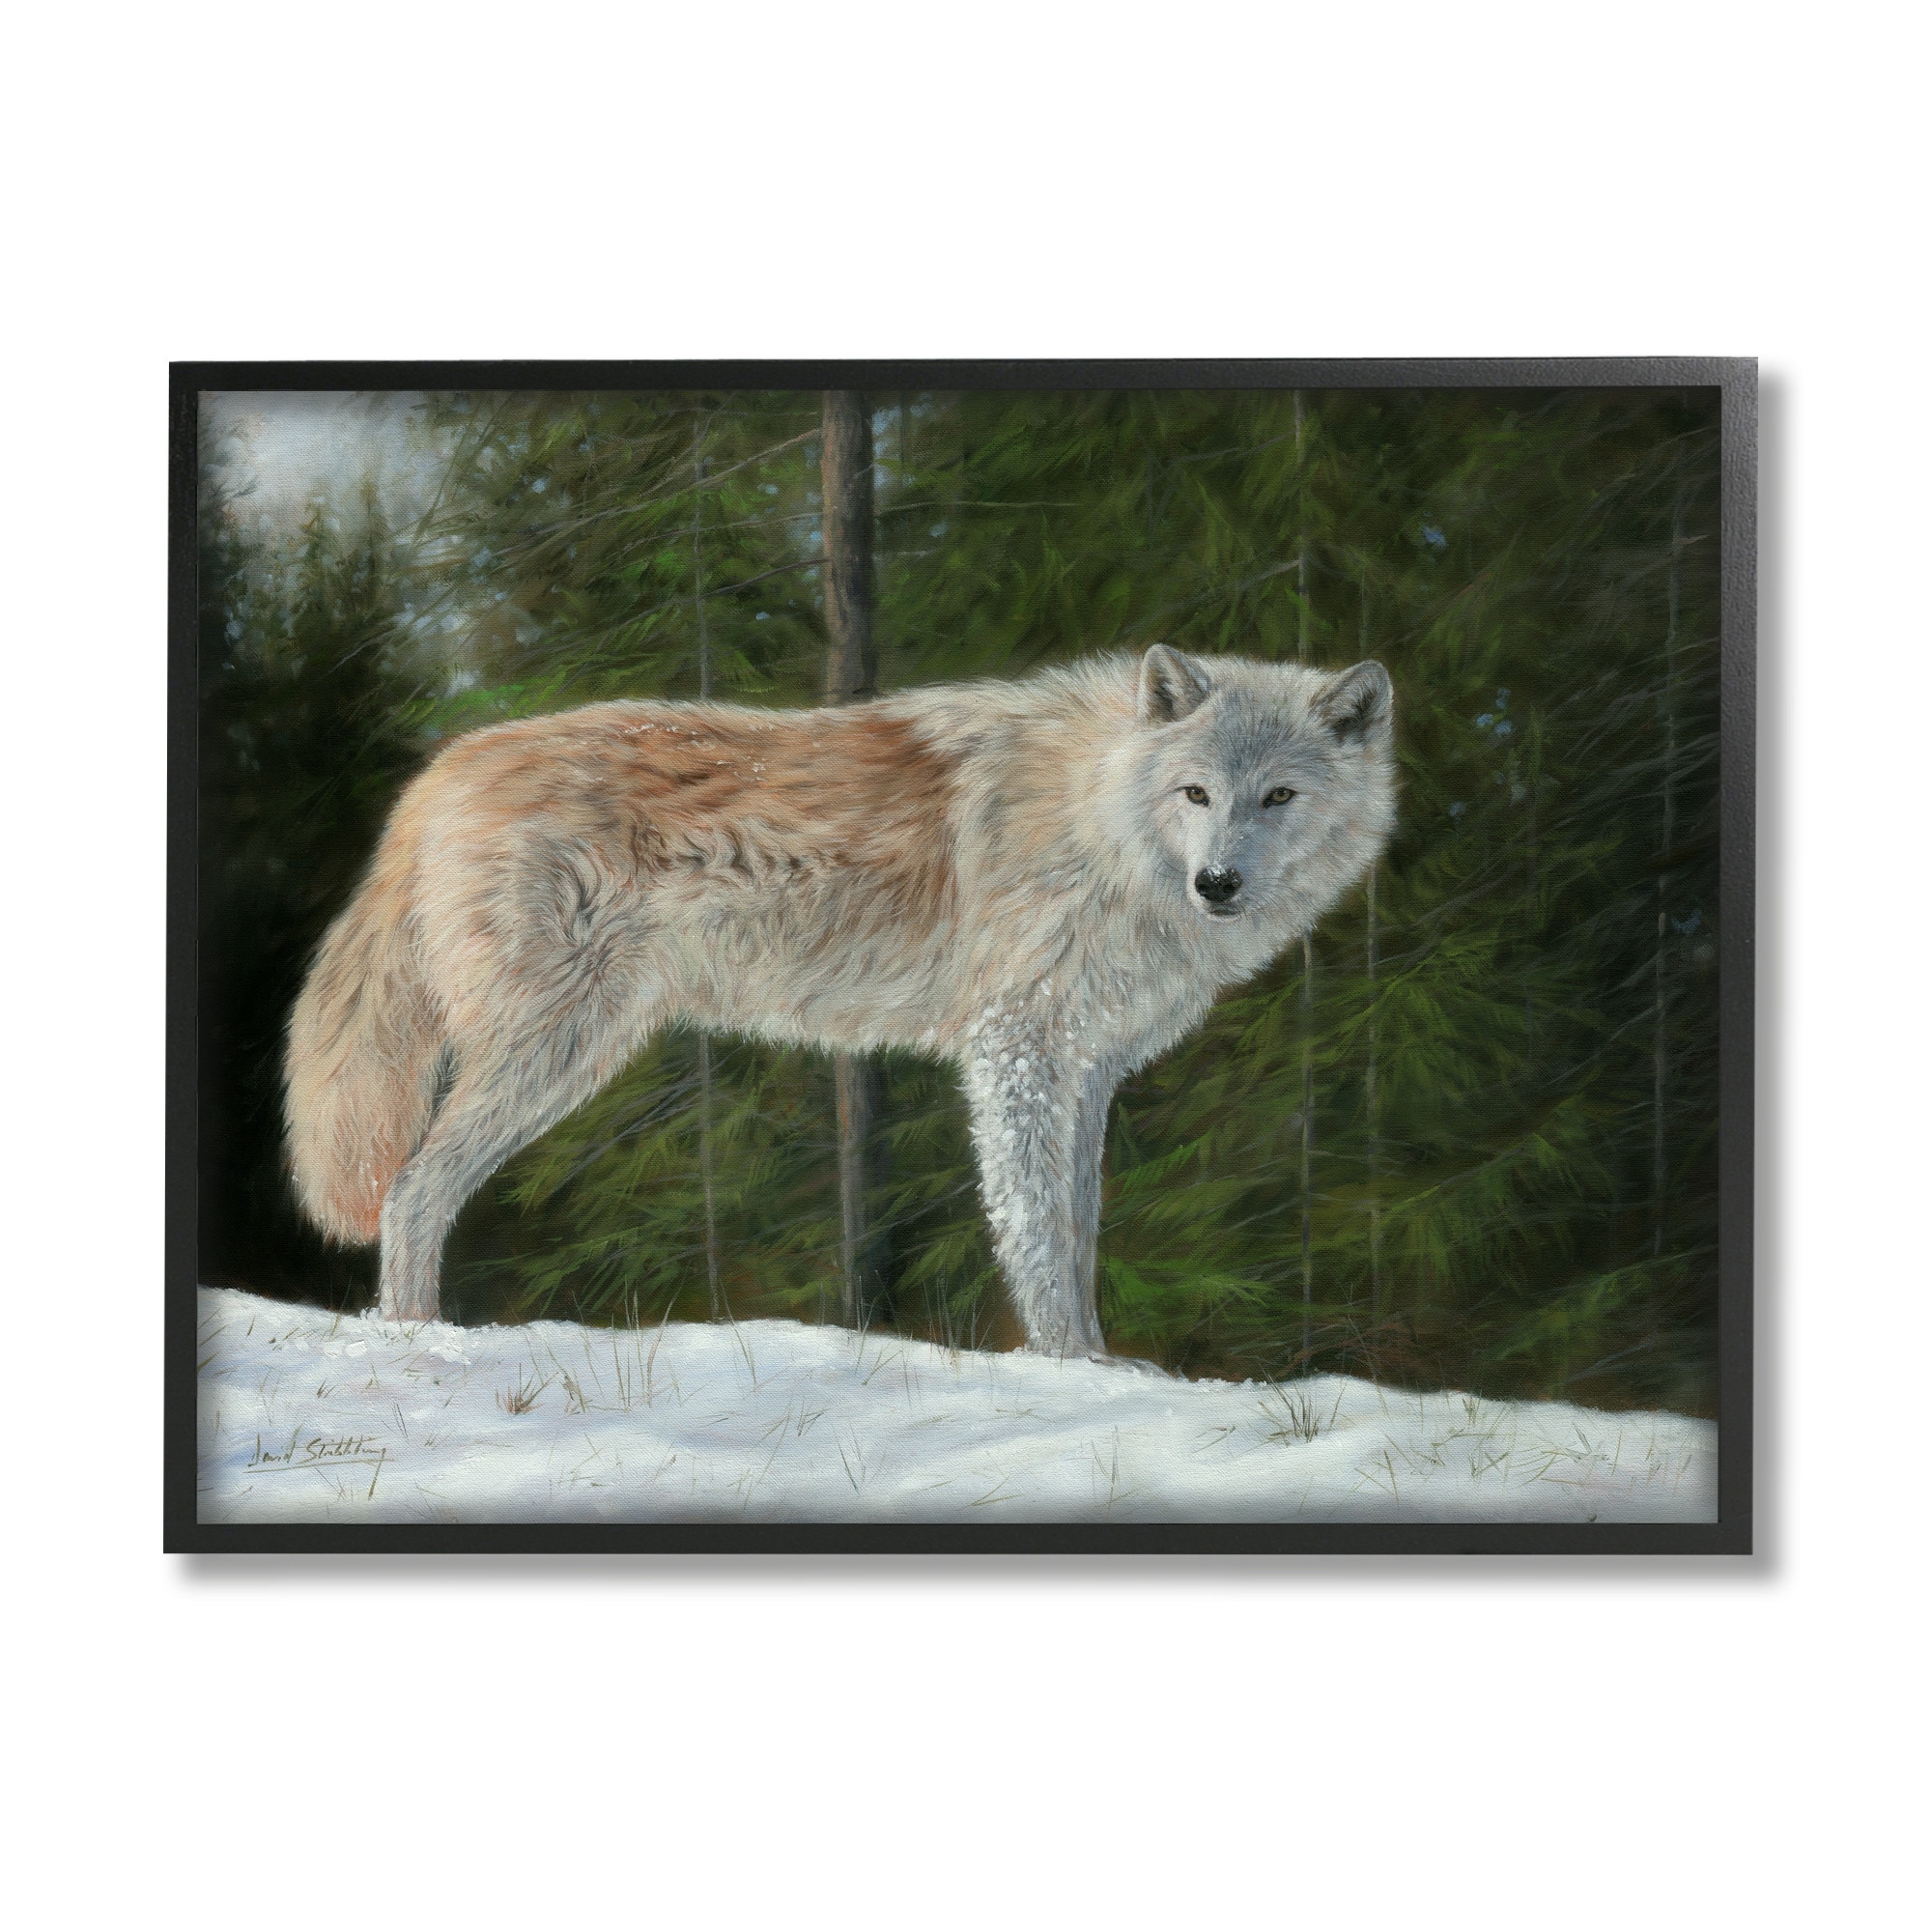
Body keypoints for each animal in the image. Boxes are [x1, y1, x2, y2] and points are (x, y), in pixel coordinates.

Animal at [285, 644, 1396, 1358]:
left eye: (1279, 797)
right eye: (1196, 793)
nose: (1219, 884)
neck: (1099, 817)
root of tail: (440, 770)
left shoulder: (1085, 1069)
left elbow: (1078, 1230)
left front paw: (1101, 1364)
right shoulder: (1017, 1052)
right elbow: (1038, 1234)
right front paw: (1076, 1369)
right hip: (555, 1053)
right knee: (412, 1189)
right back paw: (423, 1345)